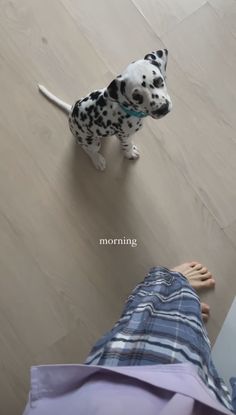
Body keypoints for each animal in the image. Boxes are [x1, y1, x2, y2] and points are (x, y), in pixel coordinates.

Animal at [38, 48, 171, 171]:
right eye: (137, 96)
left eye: (159, 80)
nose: (163, 109)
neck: (126, 108)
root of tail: (71, 111)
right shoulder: (124, 135)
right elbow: (127, 146)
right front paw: (129, 153)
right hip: (92, 142)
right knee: (88, 149)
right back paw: (97, 160)